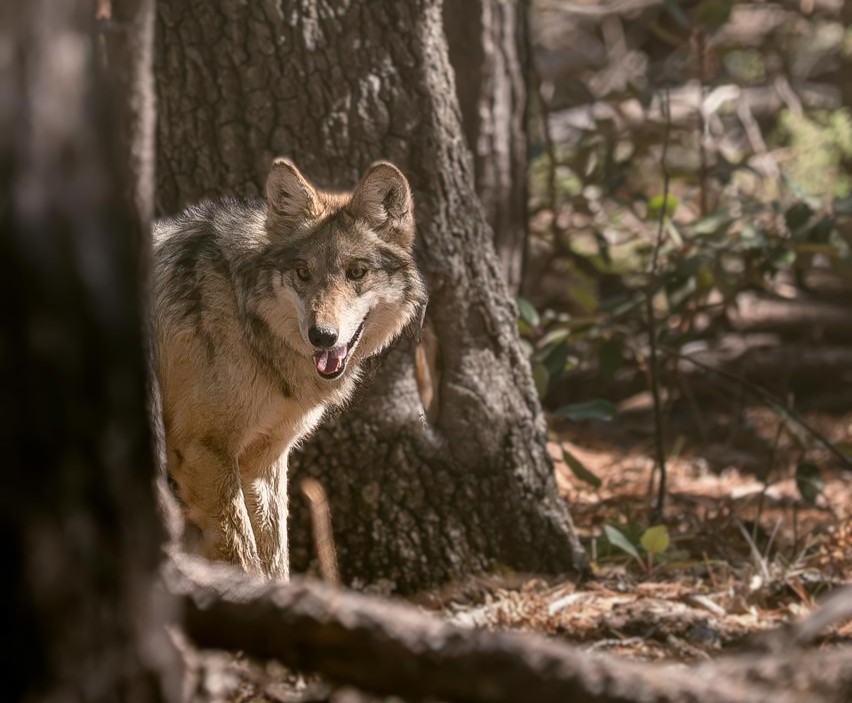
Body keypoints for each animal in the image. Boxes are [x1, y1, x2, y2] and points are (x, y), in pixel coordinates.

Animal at [152, 159, 427, 580]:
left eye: (357, 272)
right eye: (302, 272)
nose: (322, 336)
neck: (243, 312)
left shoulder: (263, 461)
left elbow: (274, 558)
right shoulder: (204, 451)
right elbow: (243, 556)